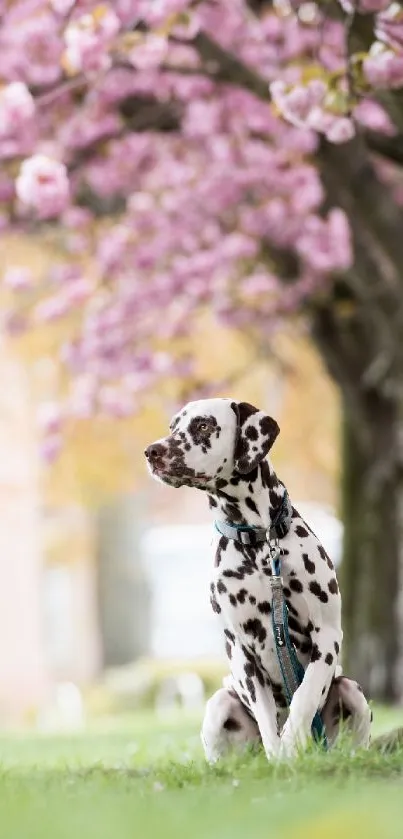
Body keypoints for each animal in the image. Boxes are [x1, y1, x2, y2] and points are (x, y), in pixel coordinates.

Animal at [145, 398, 372, 760]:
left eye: (203, 425)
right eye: (172, 427)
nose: (152, 451)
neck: (259, 541)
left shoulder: (327, 636)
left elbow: (305, 695)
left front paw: (292, 744)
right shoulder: (241, 651)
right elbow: (267, 721)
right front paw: (280, 757)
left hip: (352, 691)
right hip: (219, 704)